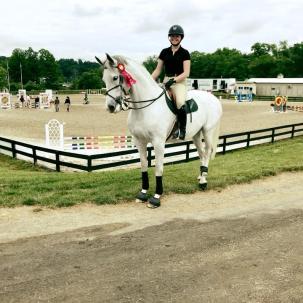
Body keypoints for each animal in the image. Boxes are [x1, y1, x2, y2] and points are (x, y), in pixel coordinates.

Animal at [95, 53, 223, 209]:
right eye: (103, 79)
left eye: (114, 77)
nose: (111, 107)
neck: (145, 108)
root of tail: (213, 97)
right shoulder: (139, 141)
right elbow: (144, 165)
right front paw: (143, 193)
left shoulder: (158, 142)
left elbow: (158, 168)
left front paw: (156, 197)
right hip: (196, 135)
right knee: (202, 153)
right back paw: (200, 176)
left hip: (208, 131)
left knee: (208, 151)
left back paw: (203, 181)